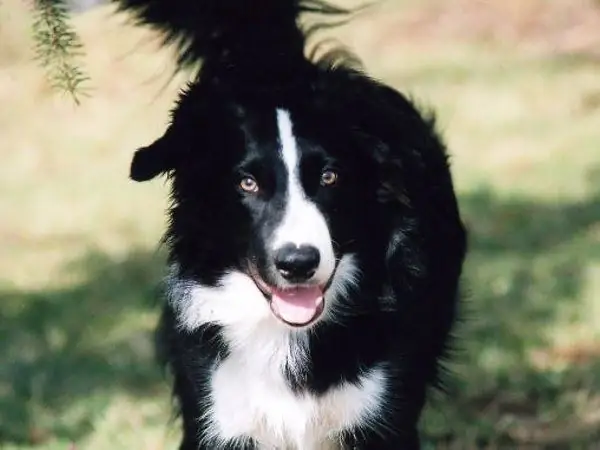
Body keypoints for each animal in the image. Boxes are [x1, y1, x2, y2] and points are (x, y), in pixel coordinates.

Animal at [118, 0, 468, 448]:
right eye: (247, 183)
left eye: (330, 177)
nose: (298, 264)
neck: (288, 336)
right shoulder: (219, 409)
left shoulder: (382, 413)